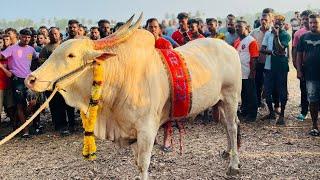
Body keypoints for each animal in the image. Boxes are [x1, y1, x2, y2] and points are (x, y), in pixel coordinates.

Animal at [25, 14, 241, 179]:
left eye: (71, 55)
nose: (31, 79)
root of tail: (228, 47)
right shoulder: (130, 131)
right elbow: (137, 163)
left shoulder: (146, 130)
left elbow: (143, 164)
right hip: (219, 101)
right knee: (226, 126)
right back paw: (228, 151)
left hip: (231, 97)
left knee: (232, 126)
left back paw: (233, 165)